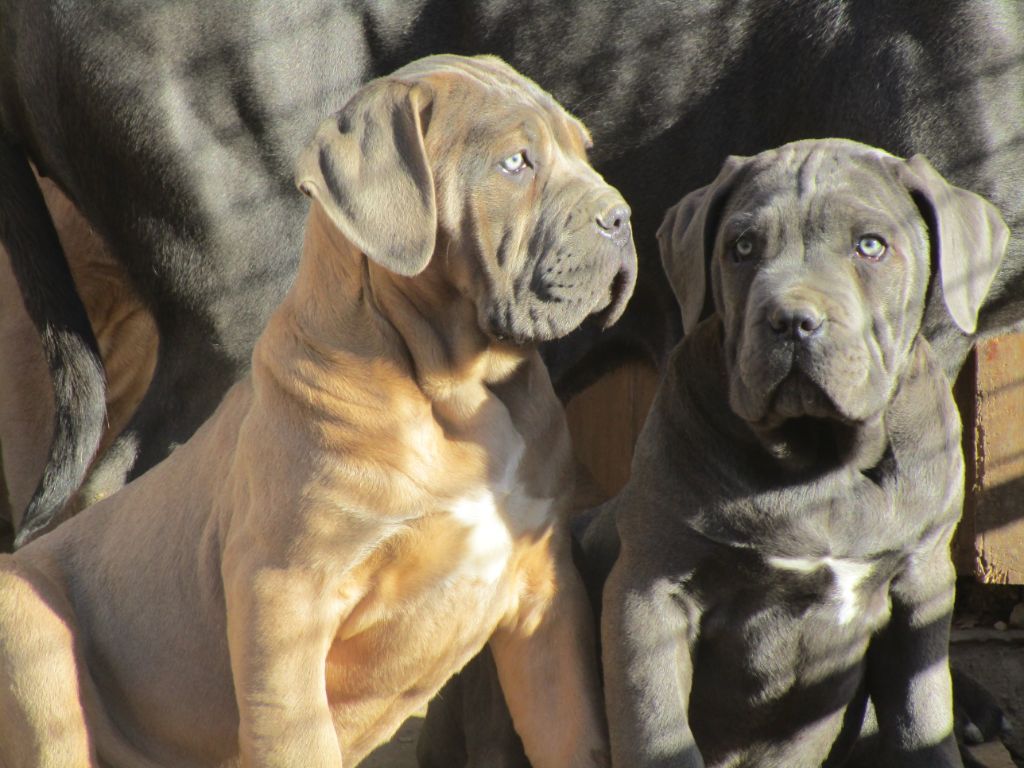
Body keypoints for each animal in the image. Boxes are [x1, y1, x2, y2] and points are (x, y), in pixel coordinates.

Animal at [598, 140, 1007, 768]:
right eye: (742, 247)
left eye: (870, 246)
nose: (791, 321)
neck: (820, 460)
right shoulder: (648, 589)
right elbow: (655, 729)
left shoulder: (922, 584)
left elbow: (922, 716)